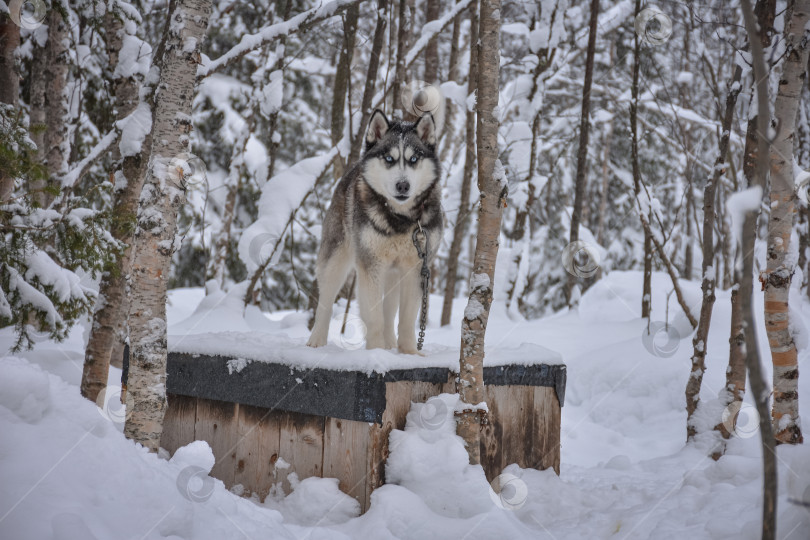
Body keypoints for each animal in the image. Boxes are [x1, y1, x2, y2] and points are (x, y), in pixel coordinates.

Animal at [306, 110, 442, 354]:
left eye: (413, 159)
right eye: (389, 159)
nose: (403, 186)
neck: (401, 219)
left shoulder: (415, 268)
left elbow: (406, 320)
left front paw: (409, 353)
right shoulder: (371, 265)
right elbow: (375, 317)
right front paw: (376, 352)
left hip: (392, 275)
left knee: (389, 311)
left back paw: (390, 345)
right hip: (335, 261)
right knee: (325, 301)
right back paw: (317, 339)